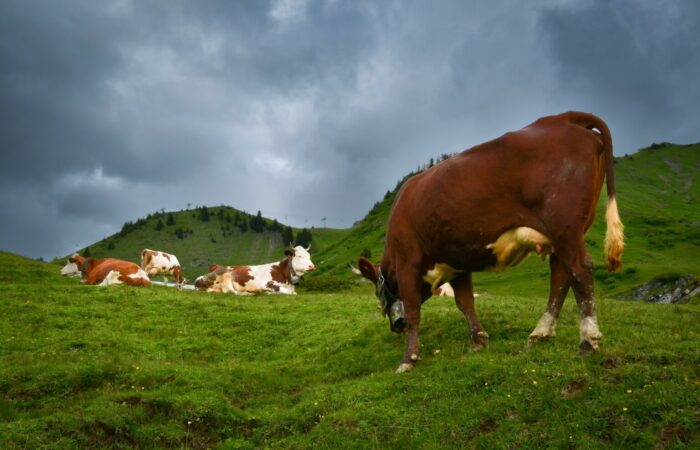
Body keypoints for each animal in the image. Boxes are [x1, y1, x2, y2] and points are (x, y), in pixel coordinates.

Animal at [357, 111, 624, 373]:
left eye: (377, 292)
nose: (396, 326)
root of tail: (564, 117)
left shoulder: (407, 262)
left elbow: (414, 310)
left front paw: (408, 359)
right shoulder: (457, 262)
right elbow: (465, 303)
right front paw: (478, 340)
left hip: (565, 227)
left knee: (579, 271)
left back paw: (587, 341)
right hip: (563, 234)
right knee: (560, 277)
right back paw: (540, 333)